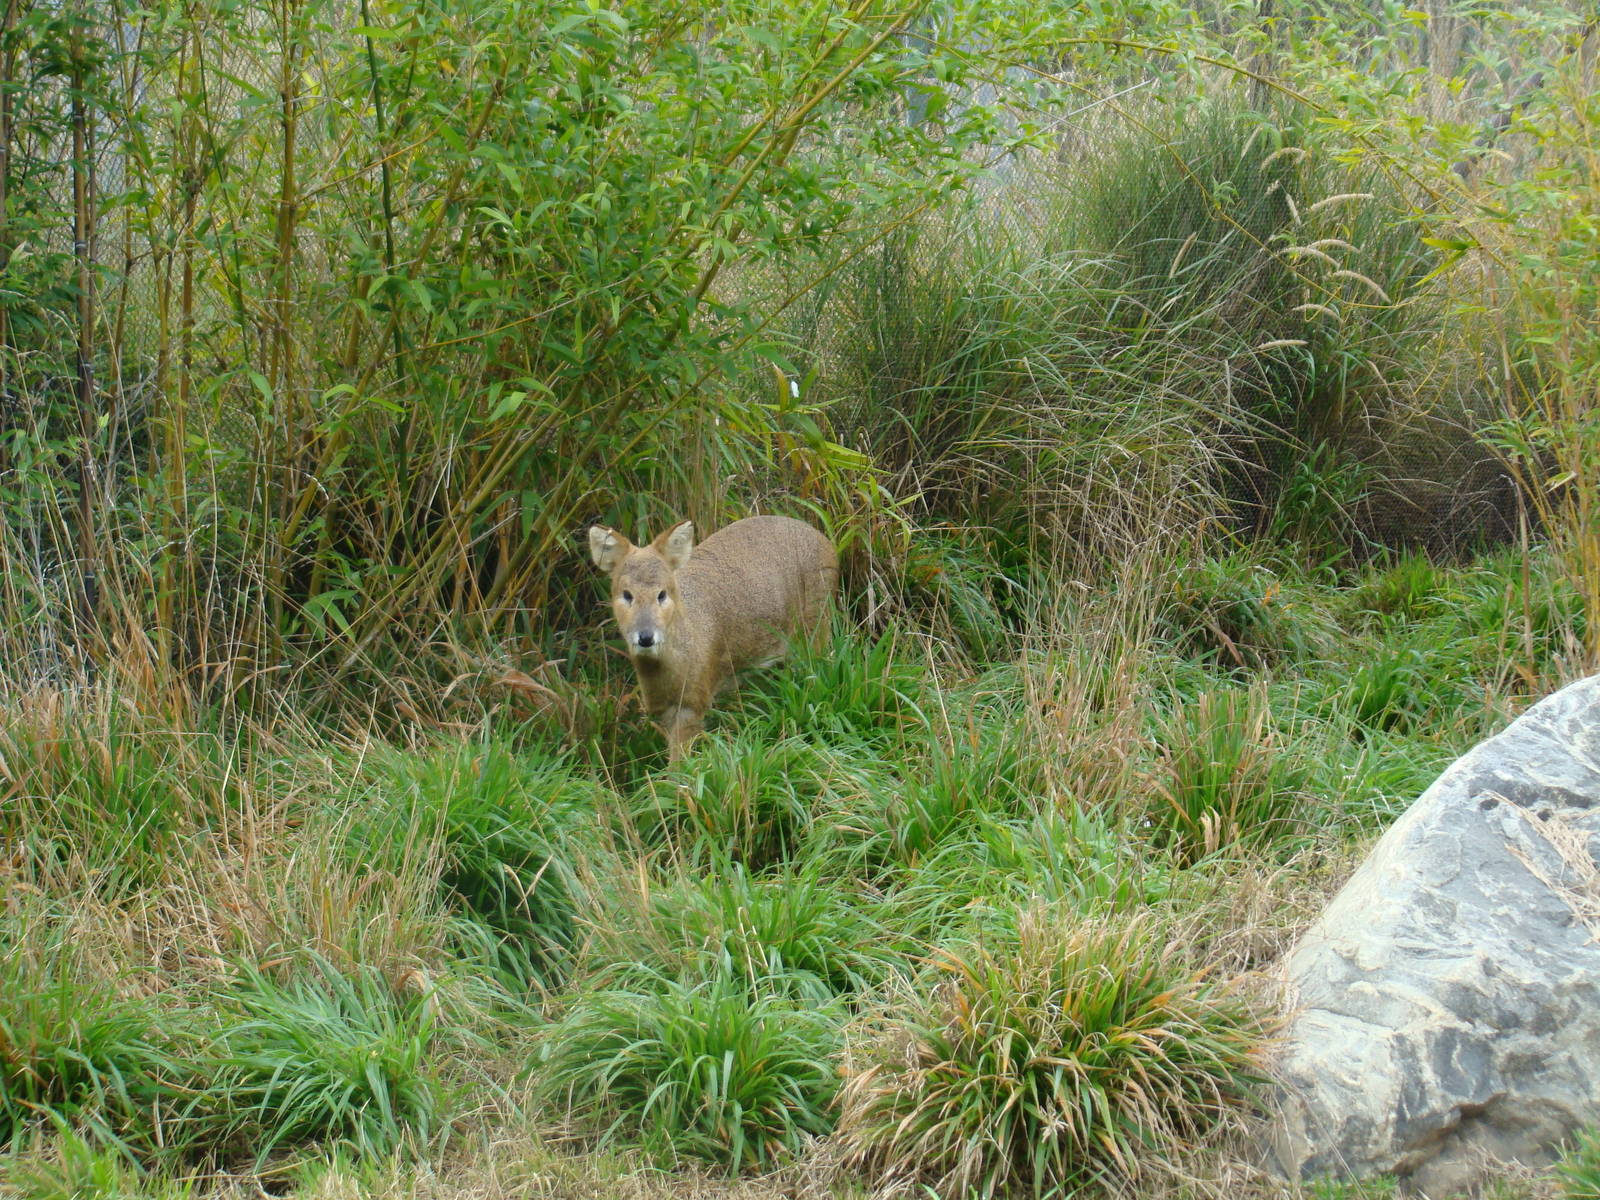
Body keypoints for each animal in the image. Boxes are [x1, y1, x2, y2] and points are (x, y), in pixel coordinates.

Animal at [588, 515, 838, 761]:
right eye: (626, 594)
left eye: (662, 593)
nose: (646, 637)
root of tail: (826, 542)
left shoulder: (694, 701)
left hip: (815, 628)